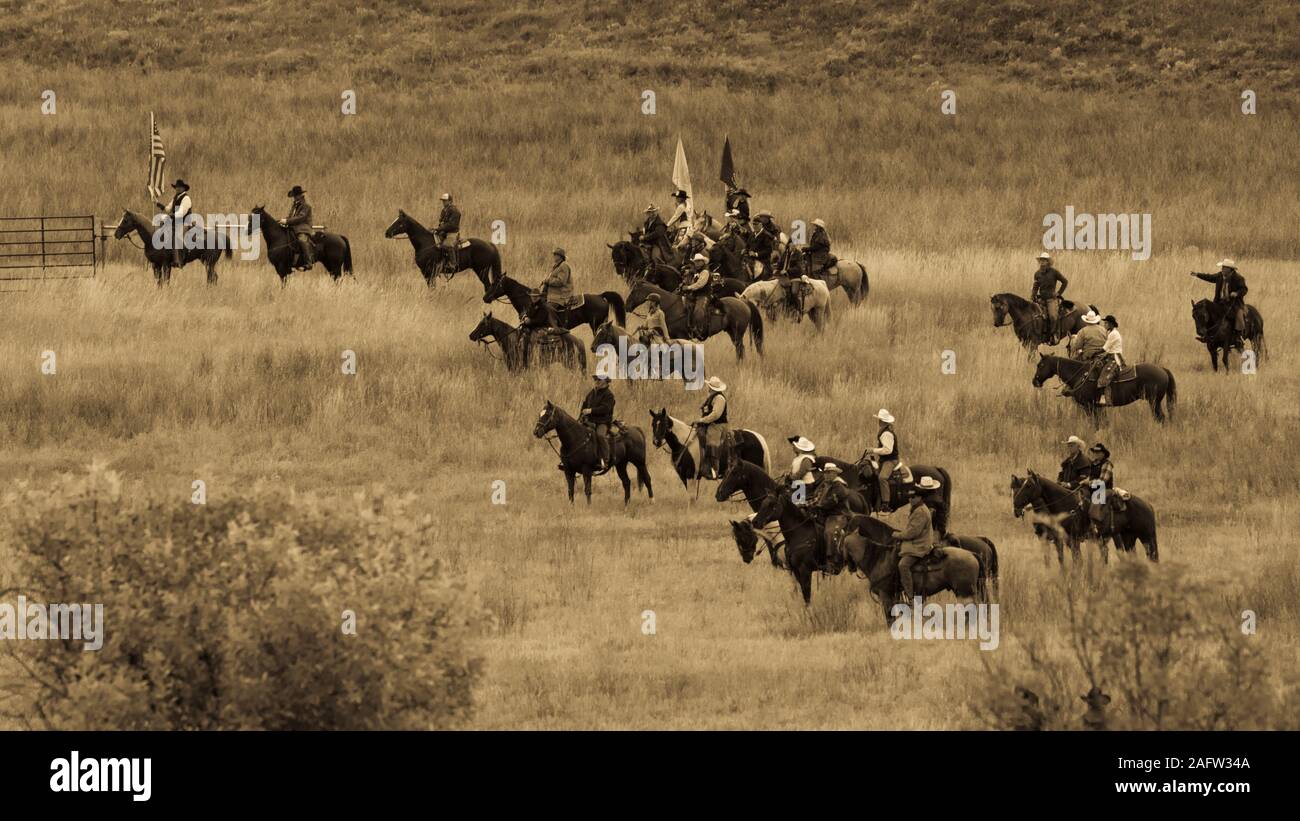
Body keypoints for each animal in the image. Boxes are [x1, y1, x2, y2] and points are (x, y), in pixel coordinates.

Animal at [621, 281, 759, 358]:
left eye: (633, 292)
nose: (626, 306)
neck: (671, 307)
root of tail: (744, 303)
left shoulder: (683, 336)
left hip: (738, 333)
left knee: (740, 349)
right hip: (732, 332)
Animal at [1034, 353, 1180, 423]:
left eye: (1040, 365)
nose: (1034, 381)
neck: (1081, 374)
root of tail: (1162, 369)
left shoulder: (1089, 405)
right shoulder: (1096, 407)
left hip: (1154, 402)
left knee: (1160, 418)